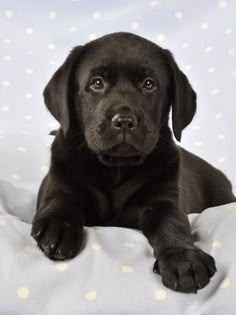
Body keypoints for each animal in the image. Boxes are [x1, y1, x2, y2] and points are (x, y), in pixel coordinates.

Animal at [30, 32, 234, 294]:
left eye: (149, 84)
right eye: (97, 83)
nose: (124, 121)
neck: (115, 168)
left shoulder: (163, 201)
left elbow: (172, 223)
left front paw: (182, 258)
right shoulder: (59, 183)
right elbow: (61, 201)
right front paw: (58, 227)